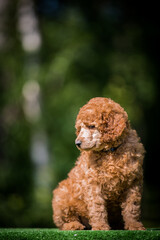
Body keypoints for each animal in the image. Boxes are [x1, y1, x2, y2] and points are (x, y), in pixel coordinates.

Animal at [52, 97, 145, 231]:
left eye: (92, 126)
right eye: (80, 128)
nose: (77, 143)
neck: (110, 152)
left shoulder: (133, 182)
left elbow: (132, 206)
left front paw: (134, 226)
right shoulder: (93, 184)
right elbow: (97, 206)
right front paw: (100, 227)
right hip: (62, 194)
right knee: (63, 220)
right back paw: (74, 225)